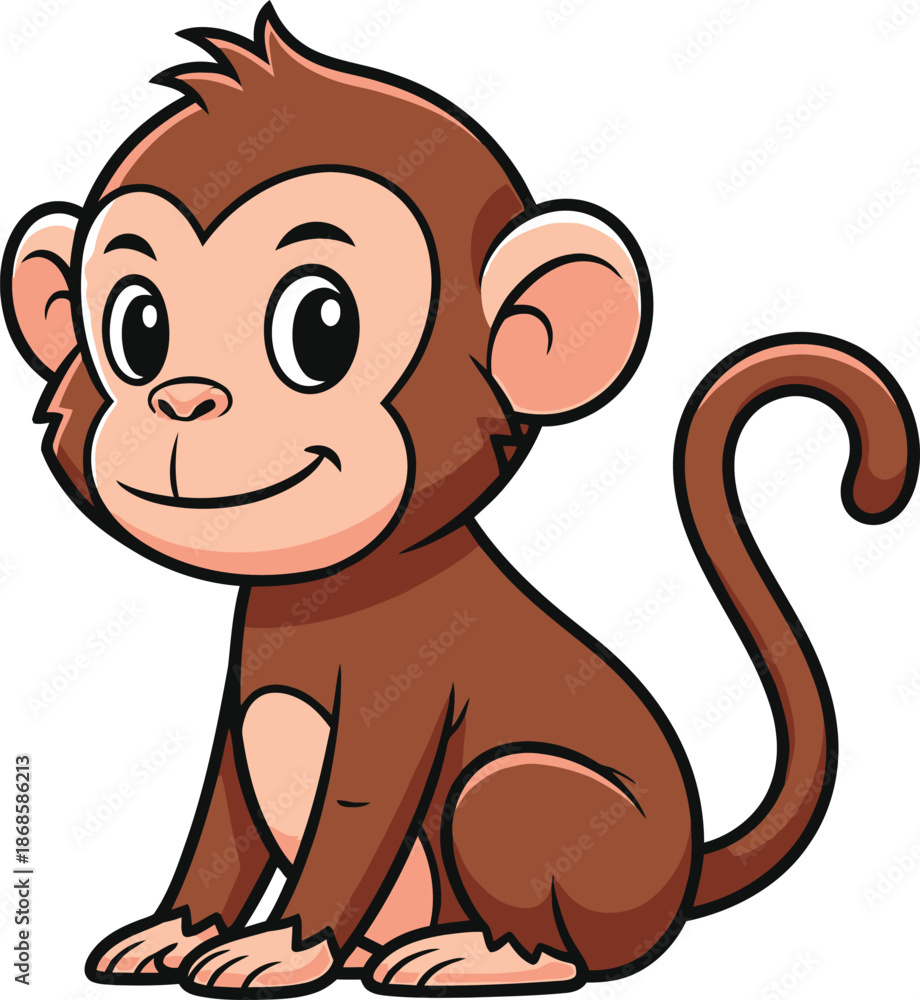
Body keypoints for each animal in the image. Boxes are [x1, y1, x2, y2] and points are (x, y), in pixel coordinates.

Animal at [3, 5, 918, 996]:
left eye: (320, 325)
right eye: (138, 327)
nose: (184, 399)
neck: (324, 595)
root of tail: (680, 884)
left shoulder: (402, 696)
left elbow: (355, 821)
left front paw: (282, 948)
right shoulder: (240, 720)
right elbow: (224, 825)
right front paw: (175, 931)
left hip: (518, 800)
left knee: (544, 897)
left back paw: (475, 953)